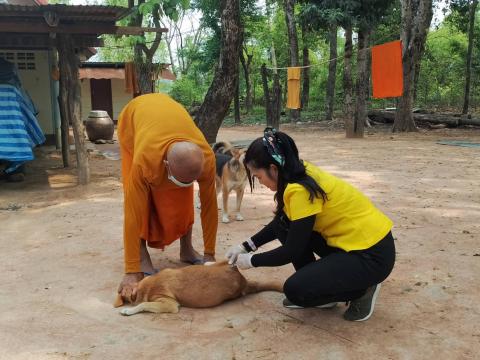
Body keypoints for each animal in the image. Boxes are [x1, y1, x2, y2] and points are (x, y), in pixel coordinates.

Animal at [114, 260, 284, 316]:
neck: (143, 286)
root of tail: (244, 281)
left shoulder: (169, 304)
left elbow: (144, 304)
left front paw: (128, 310)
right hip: (226, 266)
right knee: (223, 260)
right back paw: (208, 262)